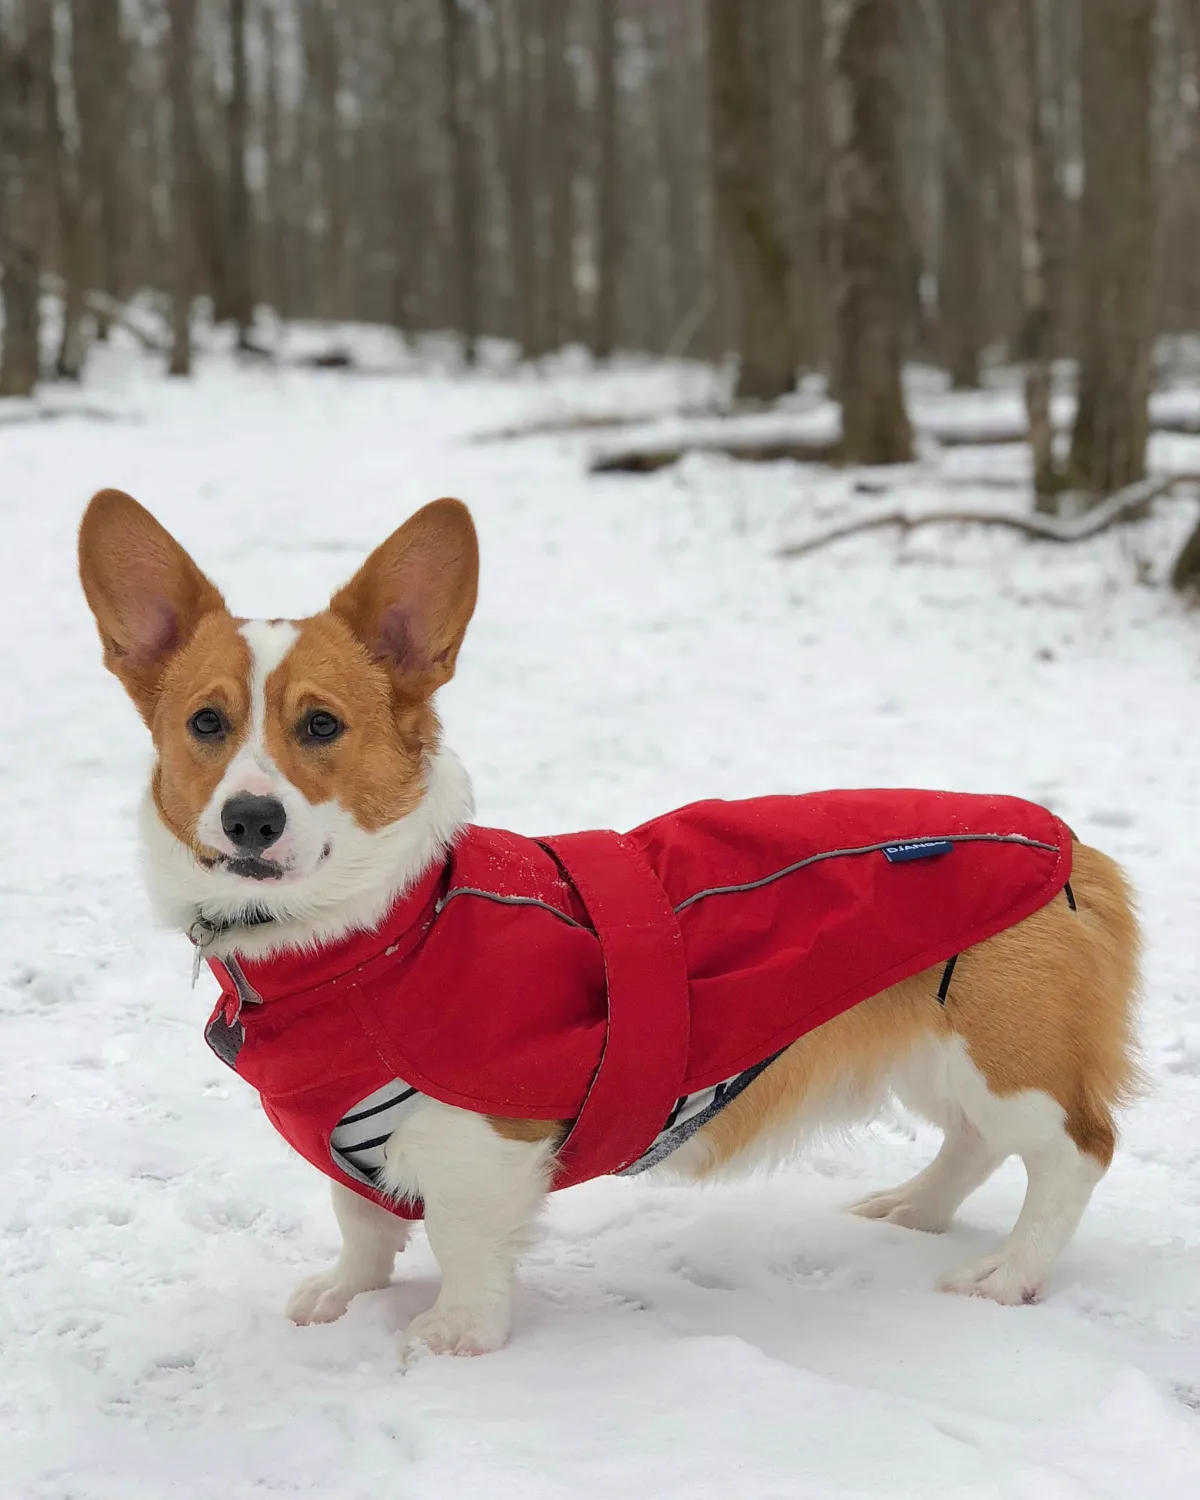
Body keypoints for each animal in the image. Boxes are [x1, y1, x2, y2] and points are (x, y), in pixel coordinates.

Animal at [79, 492, 1140, 1362]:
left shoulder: (481, 1138)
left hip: (1002, 1056)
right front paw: (346, 1295)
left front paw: (457, 1334)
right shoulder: (349, 1140)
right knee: (976, 1143)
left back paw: (1010, 1272)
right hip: (938, 1053)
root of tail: (1072, 844)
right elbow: (361, 1223)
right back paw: (911, 1208)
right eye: (206, 724)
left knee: (1075, 1152)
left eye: (322, 726)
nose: (250, 821)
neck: (369, 935)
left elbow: (461, 1239)